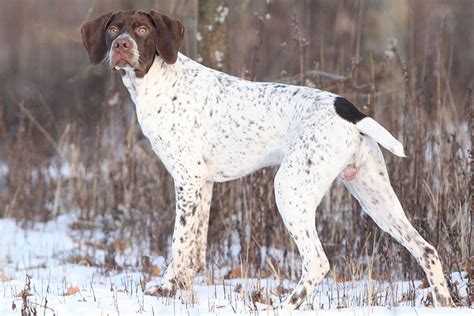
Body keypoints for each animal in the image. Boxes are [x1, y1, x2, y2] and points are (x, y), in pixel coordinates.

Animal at [82, 9, 456, 308]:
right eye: (113, 29)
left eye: (142, 30)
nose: (122, 46)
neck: (157, 81)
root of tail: (348, 108)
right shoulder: (202, 184)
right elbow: (195, 249)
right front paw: (182, 288)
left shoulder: (186, 179)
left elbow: (179, 243)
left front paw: (165, 288)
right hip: (376, 197)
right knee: (426, 249)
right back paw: (445, 302)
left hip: (290, 190)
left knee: (317, 263)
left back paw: (285, 305)